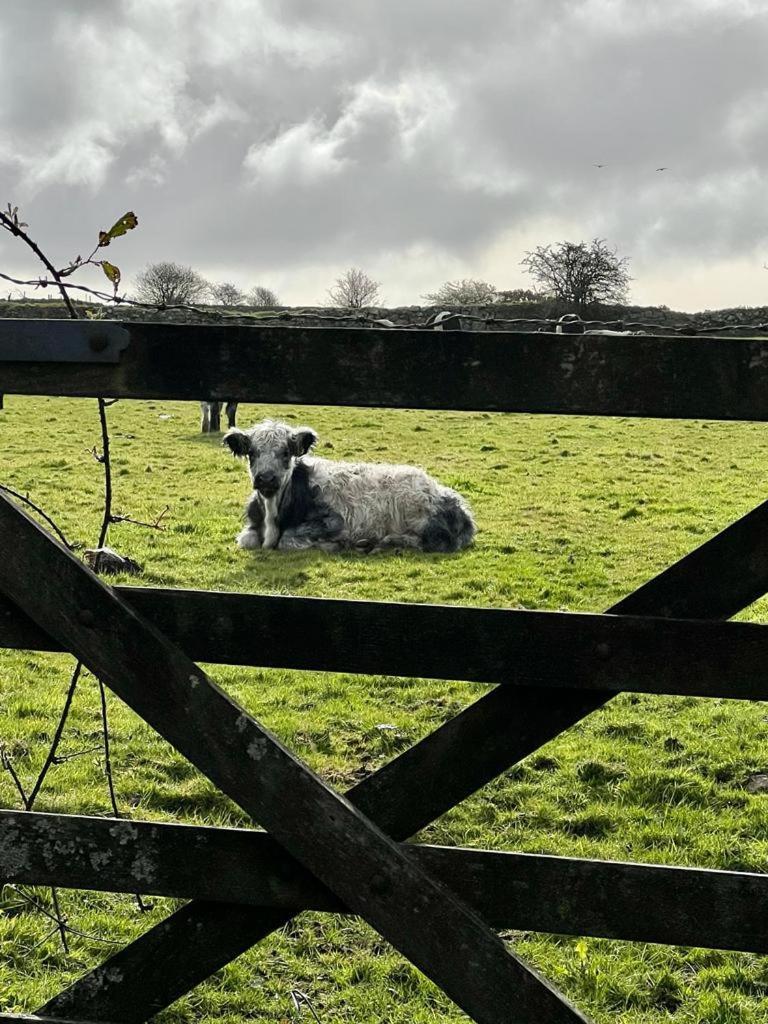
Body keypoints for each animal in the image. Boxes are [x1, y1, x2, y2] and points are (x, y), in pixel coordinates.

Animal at [221, 419, 475, 557]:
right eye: (252, 453)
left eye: (285, 453)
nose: (266, 479)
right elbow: (247, 539)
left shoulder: (334, 521)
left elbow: (288, 540)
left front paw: (333, 545)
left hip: (422, 519)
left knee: (434, 542)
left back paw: (377, 543)